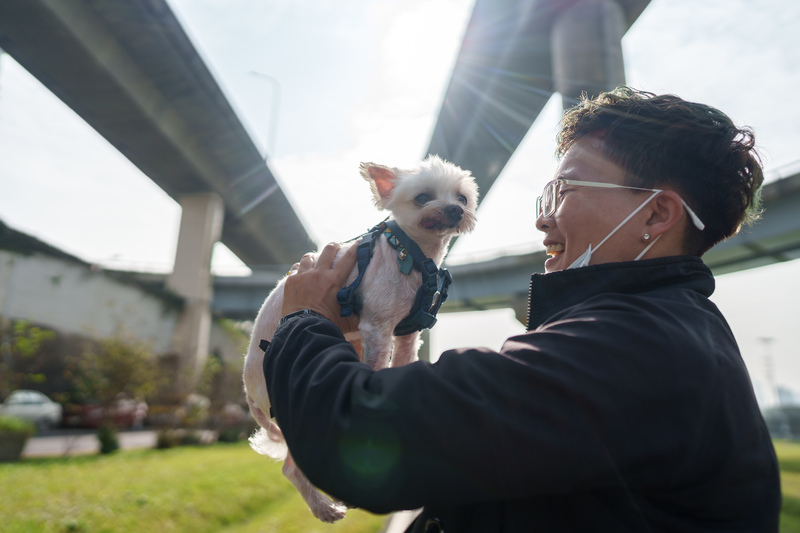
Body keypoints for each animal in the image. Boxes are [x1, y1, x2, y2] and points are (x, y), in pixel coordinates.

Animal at [241, 154, 478, 520]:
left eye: (463, 198)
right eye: (423, 197)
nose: (453, 210)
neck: (415, 254)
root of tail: (247, 386)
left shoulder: (407, 333)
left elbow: (405, 362)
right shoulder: (377, 328)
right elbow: (377, 367)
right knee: (292, 467)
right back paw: (325, 507)